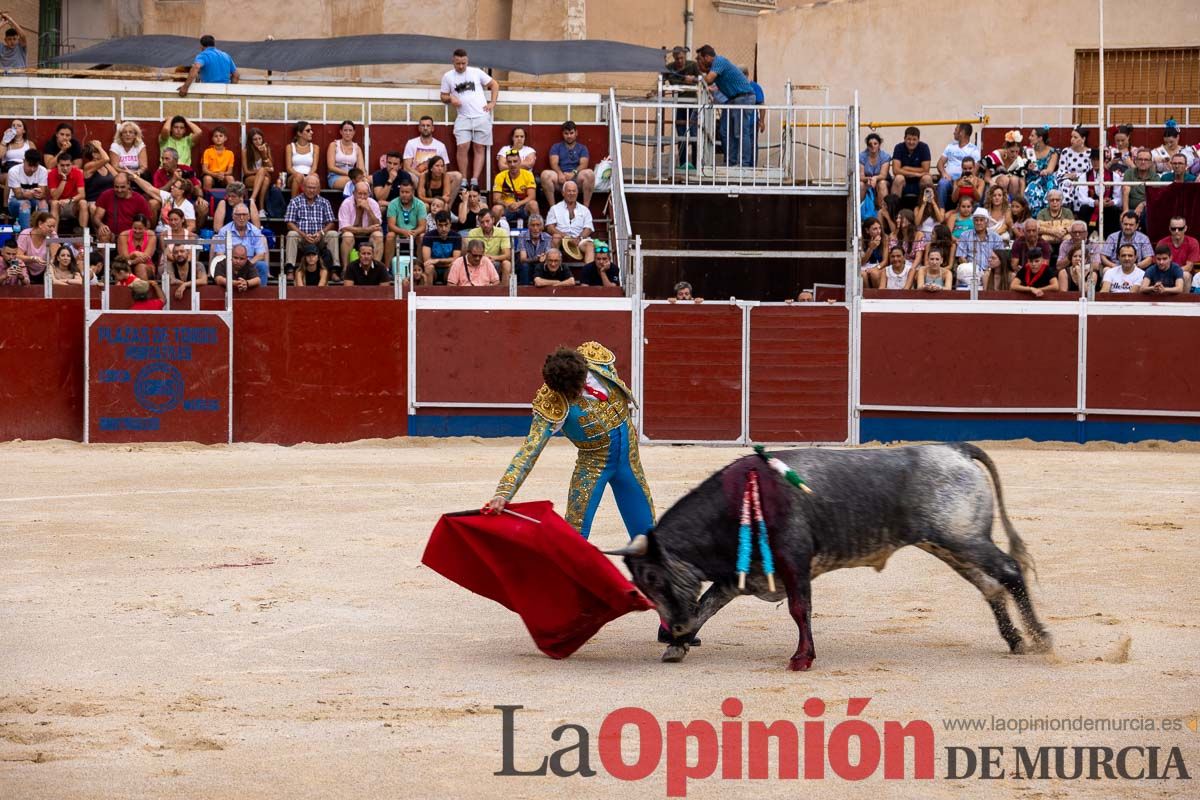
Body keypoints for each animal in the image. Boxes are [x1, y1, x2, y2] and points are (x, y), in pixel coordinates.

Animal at [604, 443, 1056, 671]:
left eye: (653, 578)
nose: (673, 627)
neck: (733, 505)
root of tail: (956, 449)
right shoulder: (737, 576)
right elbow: (706, 606)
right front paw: (678, 645)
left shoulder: (794, 561)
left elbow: (799, 610)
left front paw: (802, 659)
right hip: (949, 544)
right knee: (991, 585)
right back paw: (1016, 640)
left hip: (962, 538)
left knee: (1009, 570)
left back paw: (1040, 638)